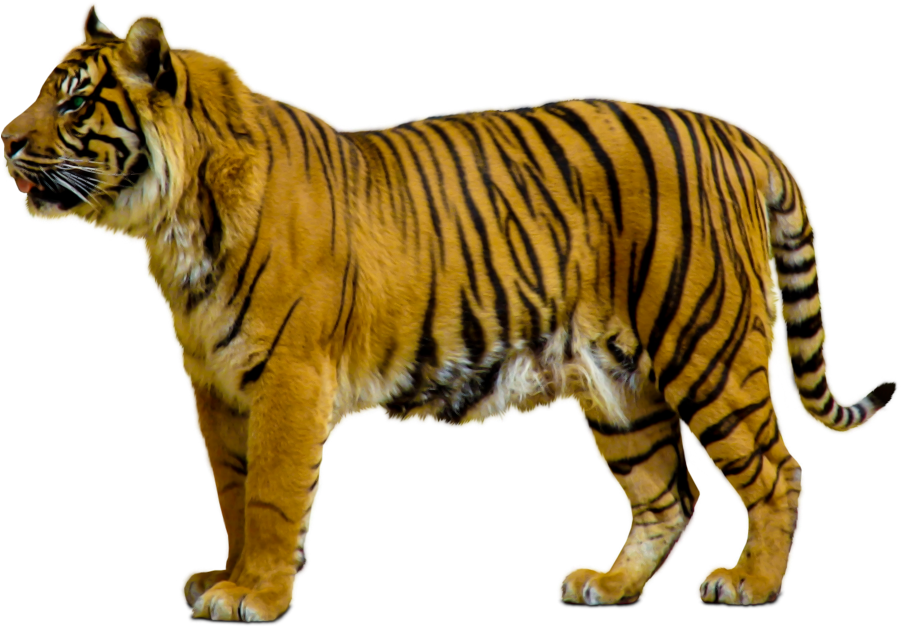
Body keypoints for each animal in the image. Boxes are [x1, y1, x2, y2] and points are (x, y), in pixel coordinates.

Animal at [4, 2, 896, 620]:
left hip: (705, 347)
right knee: (665, 493)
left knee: (777, 470)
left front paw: (252, 592)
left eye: (75, 103)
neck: (171, 225)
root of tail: (740, 133)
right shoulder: (215, 387)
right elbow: (232, 489)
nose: (4, 139)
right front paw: (224, 574)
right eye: (45, 94)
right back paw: (608, 583)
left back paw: (749, 582)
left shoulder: (289, 378)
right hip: (618, 387)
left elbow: (272, 494)